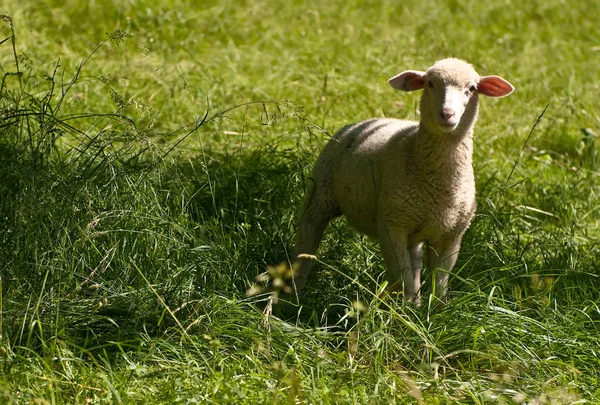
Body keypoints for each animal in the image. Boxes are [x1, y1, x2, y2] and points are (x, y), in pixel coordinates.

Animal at [292, 56, 512, 304]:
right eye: (430, 84)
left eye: (472, 88)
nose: (447, 114)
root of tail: (367, 121)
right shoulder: (392, 227)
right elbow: (402, 280)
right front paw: (403, 312)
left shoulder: (451, 236)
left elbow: (439, 283)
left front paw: (435, 309)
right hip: (320, 193)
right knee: (306, 240)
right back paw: (294, 294)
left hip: (412, 227)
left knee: (414, 264)